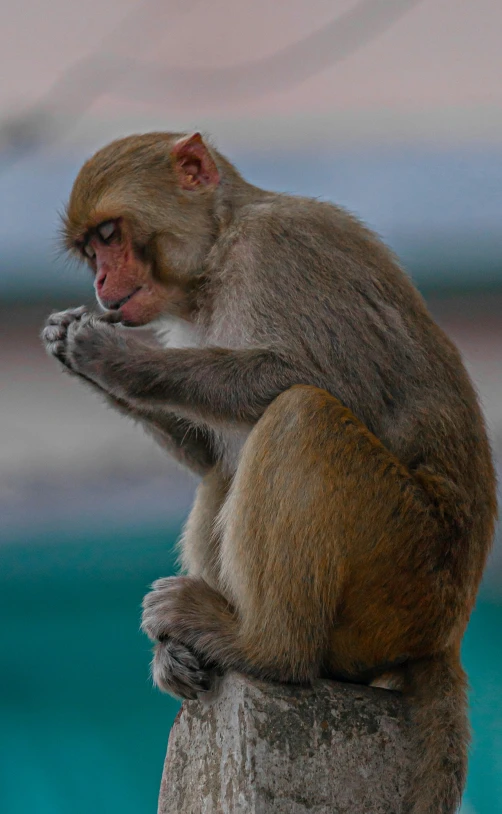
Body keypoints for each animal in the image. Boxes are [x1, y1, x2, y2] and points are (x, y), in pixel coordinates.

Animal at [43, 134, 498, 814]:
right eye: (90, 248)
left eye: (108, 234)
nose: (101, 280)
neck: (219, 250)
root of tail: (441, 636)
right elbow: (209, 452)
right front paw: (72, 349)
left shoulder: (281, 251)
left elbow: (320, 382)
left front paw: (117, 358)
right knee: (227, 470)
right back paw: (188, 652)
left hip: (405, 570)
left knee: (303, 415)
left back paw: (267, 649)